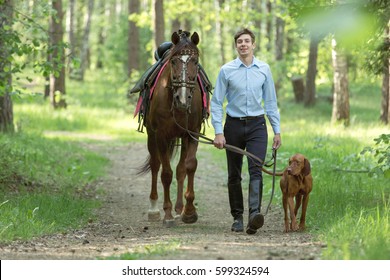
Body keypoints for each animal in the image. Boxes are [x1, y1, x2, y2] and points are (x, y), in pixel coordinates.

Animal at [138, 30, 203, 226]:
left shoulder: (193, 134)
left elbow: (189, 166)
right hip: (152, 137)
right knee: (155, 165)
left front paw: (189, 212)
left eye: (195, 61)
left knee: (181, 169)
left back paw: (179, 208)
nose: (182, 98)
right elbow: (166, 173)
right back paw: (154, 209)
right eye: (173, 61)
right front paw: (166, 213)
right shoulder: (161, 136)